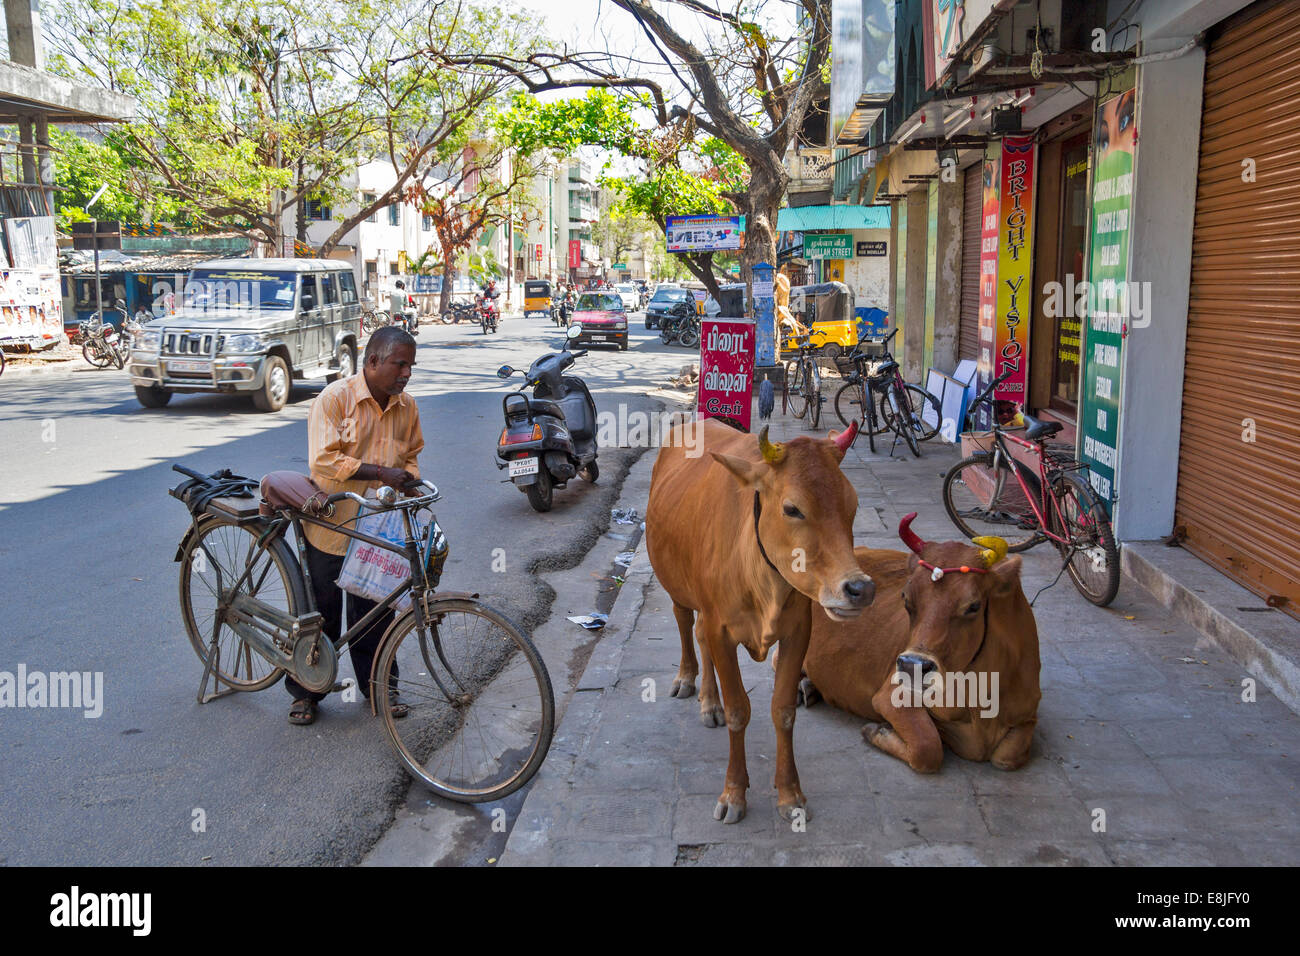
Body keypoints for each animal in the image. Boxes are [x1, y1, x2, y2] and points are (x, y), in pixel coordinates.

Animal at [645, 417, 875, 823]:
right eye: (792, 509)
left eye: (853, 503)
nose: (859, 588)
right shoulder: (722, 630)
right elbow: (739, 710)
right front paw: (734, 793)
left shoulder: (798, 631)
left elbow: (783, 711)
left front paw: (790, 794)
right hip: (676, 584)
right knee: (685, 624)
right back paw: (688, 679)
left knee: (699, 634)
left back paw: (710, 702)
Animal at [796, 513, 1041, 772]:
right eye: (906, 598)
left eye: (973, 606)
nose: (912, 665)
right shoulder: (892, 696)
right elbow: (927, 748)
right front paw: (878, 731)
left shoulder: (1028, 714)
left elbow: (1007, 757)